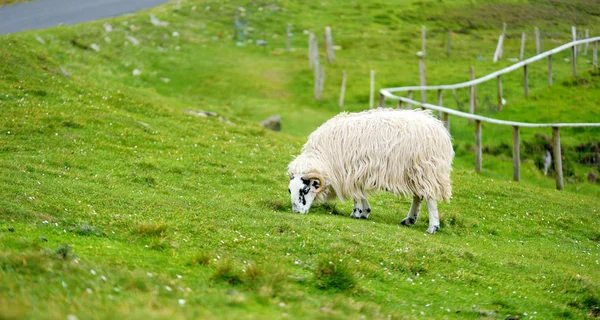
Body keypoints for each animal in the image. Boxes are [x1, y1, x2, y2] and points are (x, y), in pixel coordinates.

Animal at [288, 107, 452, 232]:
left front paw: (356, 213)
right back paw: (409, 220)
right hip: (414, 173)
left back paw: (433, 227)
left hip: (427, 170)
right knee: (418, 196)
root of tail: (439, 128)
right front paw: (364, 212)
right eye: (290, 190)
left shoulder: (350, 172)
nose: (296, 212)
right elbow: (360, 193)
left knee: (430, 197)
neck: (324, 157)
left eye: (305, 190)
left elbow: (356, 195)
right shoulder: (358, 171)